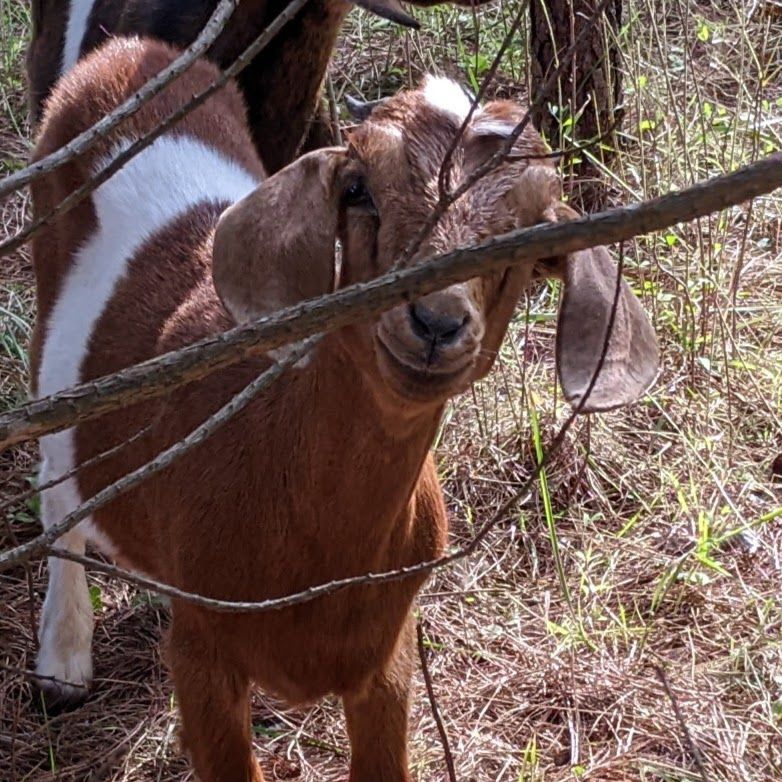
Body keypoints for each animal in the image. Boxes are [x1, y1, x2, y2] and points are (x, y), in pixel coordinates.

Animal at [29, 35, 660, 782]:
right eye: (358, 190)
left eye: (530, 236)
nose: (436, 322)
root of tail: (127, 50)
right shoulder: (202, 656)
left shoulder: (387, 659)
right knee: (54, 477)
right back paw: (63, 659)